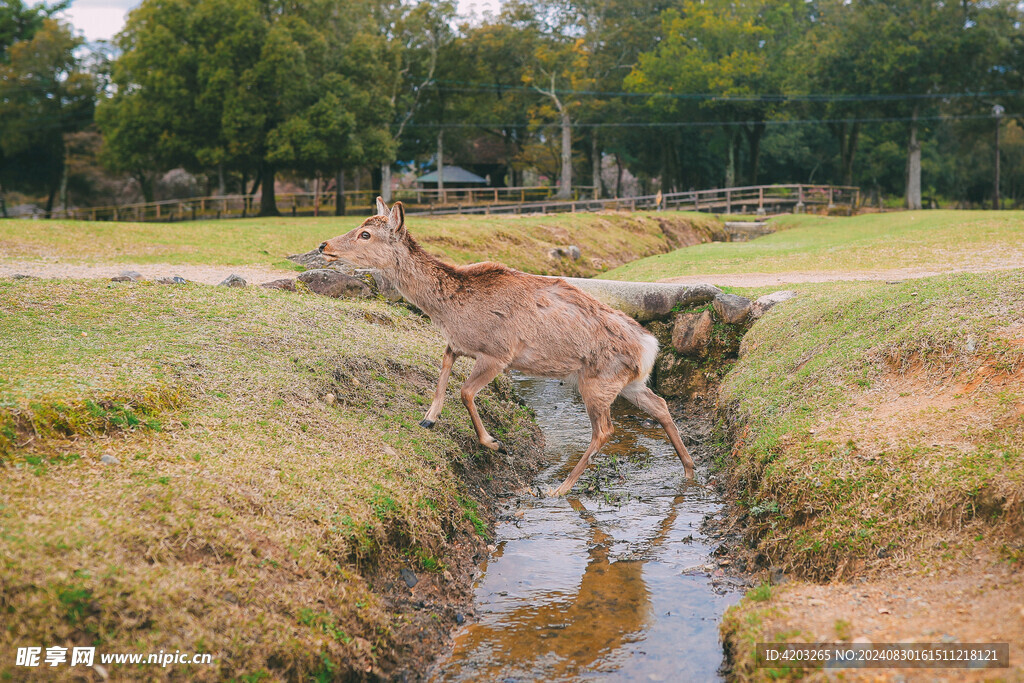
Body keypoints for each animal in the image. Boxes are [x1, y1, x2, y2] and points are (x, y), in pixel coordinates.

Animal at [315, 197, 692, 497]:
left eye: (365, 234)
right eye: (359, 225)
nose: (323, 246)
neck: (449, 311)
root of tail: (650, 345)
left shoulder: (498, 353)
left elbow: (465, 392)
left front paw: (496, 444)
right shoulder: (458, 344)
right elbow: (443, 370)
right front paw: (429, 418)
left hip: (597, 380)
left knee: (605, 430)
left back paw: (561, 487)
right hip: (628, 382)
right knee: (659, 405)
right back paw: (689, 470)